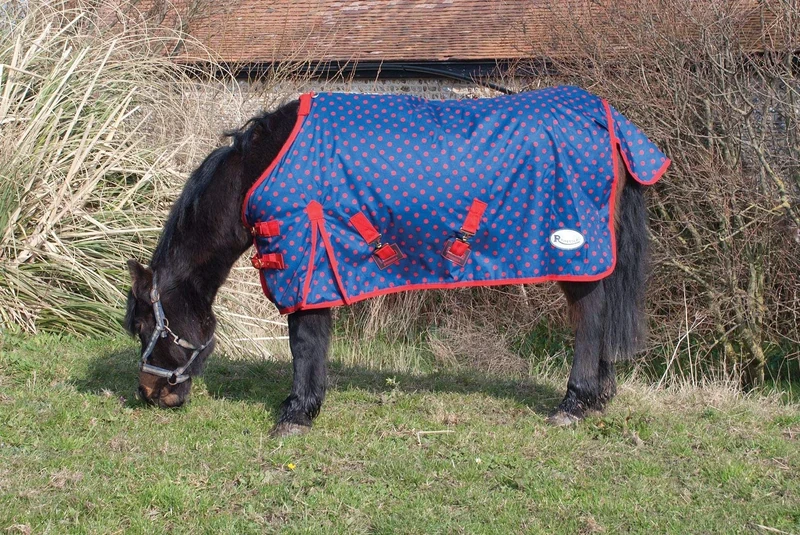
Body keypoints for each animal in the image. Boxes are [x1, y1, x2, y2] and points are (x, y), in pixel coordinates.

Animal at [124, 86, 669, 436]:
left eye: (147, 326)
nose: (151, 395)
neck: (260, 168)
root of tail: (608, 120)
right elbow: (313, 343)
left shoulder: (306, 264)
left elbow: (304, 342)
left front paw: (296, 414)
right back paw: (598, 396)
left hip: (574, 252)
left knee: (590, 318)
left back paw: (574, 402)